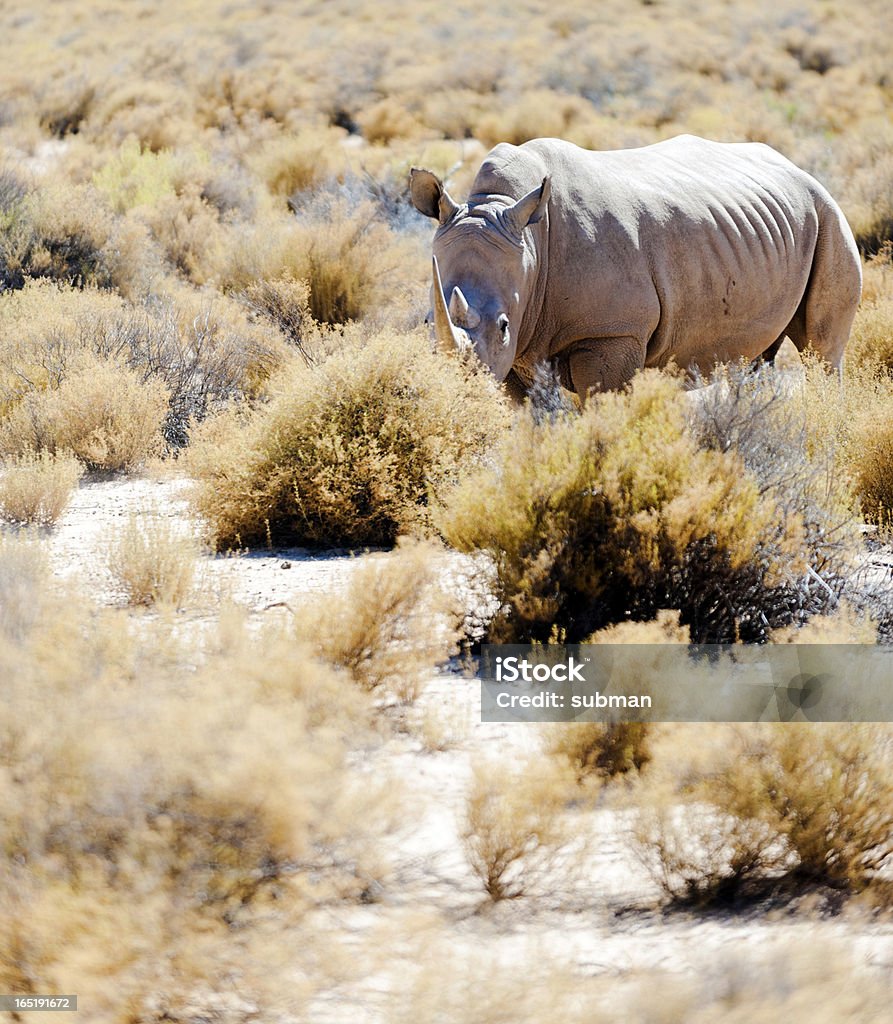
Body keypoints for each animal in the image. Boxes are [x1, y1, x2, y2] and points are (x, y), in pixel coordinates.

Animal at [407, 132, 860, 395]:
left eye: (503, 325)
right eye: (428, 322)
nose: (456, 391)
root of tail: (795, 168)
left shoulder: (613, 332)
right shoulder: (519, 351)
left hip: (827, 213)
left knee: (822, 351)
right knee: (754, 358)